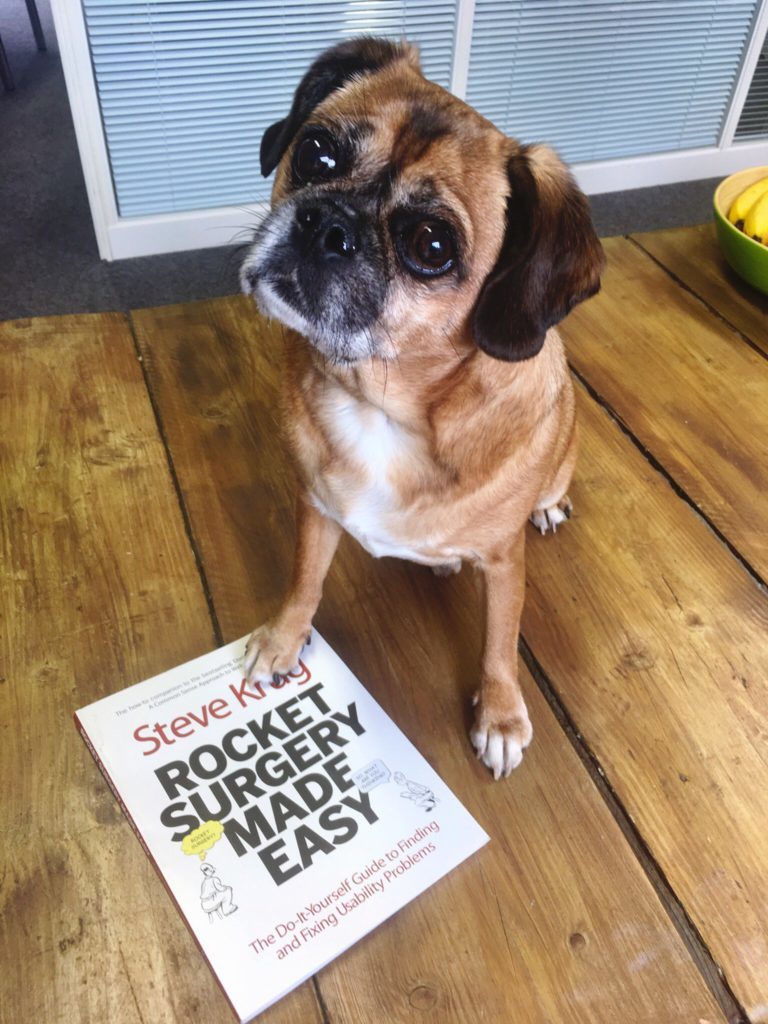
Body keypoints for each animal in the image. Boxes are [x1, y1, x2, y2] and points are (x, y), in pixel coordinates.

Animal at [241, 37, 606, 774]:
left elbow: (501, 641)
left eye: (431, 246)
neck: (384, 403)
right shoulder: (315, 509)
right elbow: (304, 581)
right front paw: (283, 638)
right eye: (316, 153)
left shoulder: (503, 562)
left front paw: (500, 715)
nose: (328, 223)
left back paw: (548, 507)